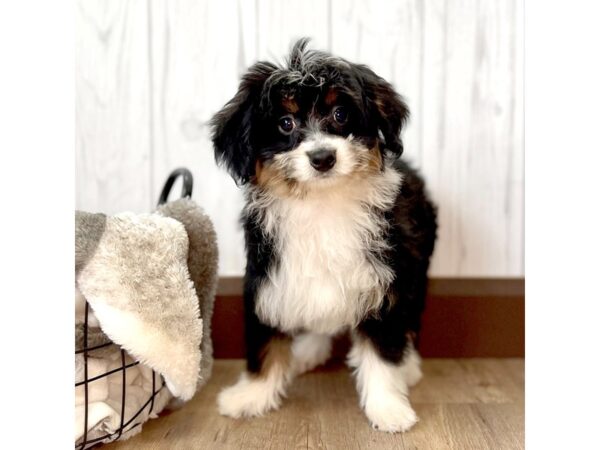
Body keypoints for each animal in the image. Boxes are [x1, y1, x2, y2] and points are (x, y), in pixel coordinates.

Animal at [210, 38, 436, 432]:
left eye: (341, 115)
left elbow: (382, 350)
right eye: (285, 123)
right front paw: (252, 394)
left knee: (409, 319)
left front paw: (388, 407)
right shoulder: (269, 279)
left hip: (417, 264)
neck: (321, 202)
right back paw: (308, 350)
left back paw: (408, 366)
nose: (322, 157)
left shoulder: (384, 281)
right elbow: (266, 342)